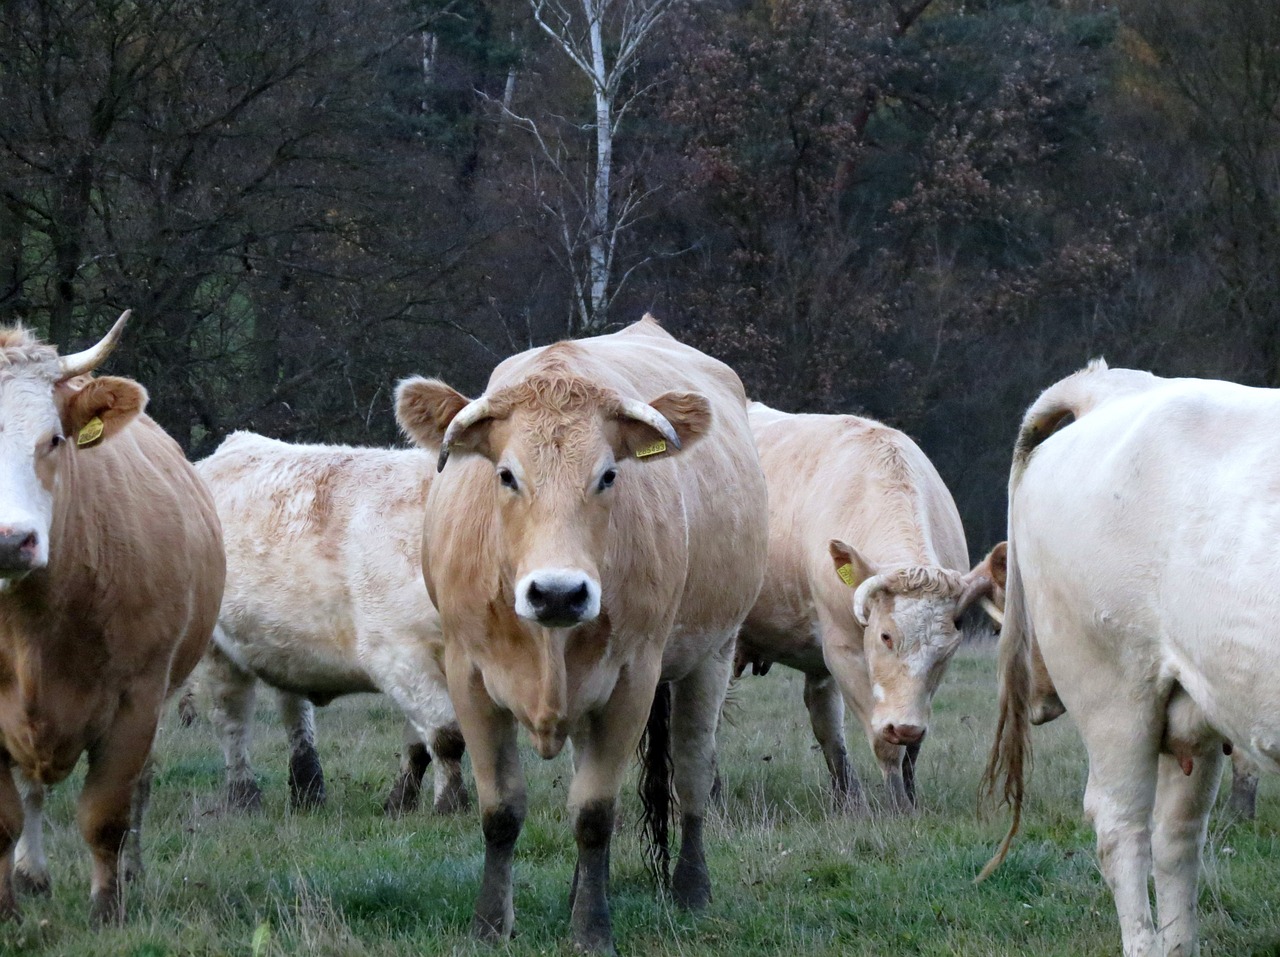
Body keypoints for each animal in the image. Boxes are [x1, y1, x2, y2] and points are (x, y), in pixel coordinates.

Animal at [0, 317, 222, 921]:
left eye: (53, 439)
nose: (9, 540)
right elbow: (4, 818)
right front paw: (7, 908)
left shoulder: (136, 698)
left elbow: (107, 814)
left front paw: (107, 907)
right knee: (31, 791)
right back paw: (32, 874)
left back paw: (130, 872)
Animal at [194, 432, 465, 813]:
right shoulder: (397, 653)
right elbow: (446, 736)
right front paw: (452, 806)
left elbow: (419, 743)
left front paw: (399, 804)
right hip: (217, 650)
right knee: (232, 720)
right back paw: (244, 797)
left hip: (286, 643)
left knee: (294, 712)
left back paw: (308, 790)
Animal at [394, 316, 762, 957]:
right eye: (505, 475)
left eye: (609, 475)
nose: (559, 593)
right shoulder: (468, 675)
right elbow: (501, 811)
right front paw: (490, 925)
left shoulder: (633, 679)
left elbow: (593, 813)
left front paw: (592, 930)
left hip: (711, 655)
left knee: (693, 775)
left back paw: (691, 890)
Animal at [737, 406, 993, 813]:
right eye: (885, 636)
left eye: (947, 648)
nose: (904, 726)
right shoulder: (842, 650)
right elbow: (885, 742)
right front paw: (898, 807)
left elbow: (910, 746)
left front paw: (910, 799)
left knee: (824, 720)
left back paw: (847, 797)